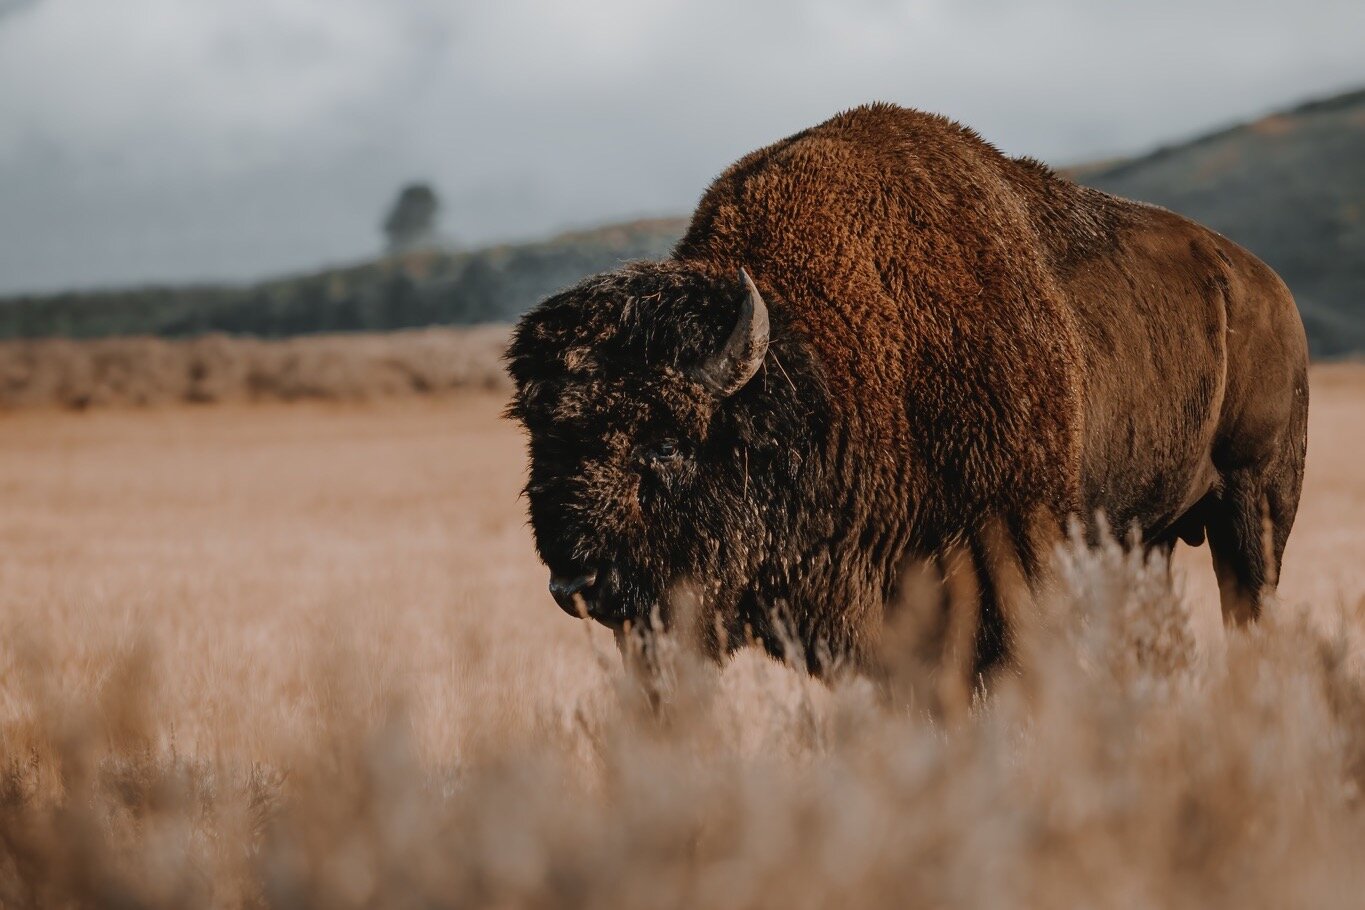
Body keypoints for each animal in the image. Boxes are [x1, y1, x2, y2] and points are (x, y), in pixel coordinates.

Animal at [505, 105, 1310, 676]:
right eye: (540, 439)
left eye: (667, 442)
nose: (575, 584)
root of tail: (1265, 286)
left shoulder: (1007, 559)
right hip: (1148, 537)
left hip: (1253, 508)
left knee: (1249, 609)